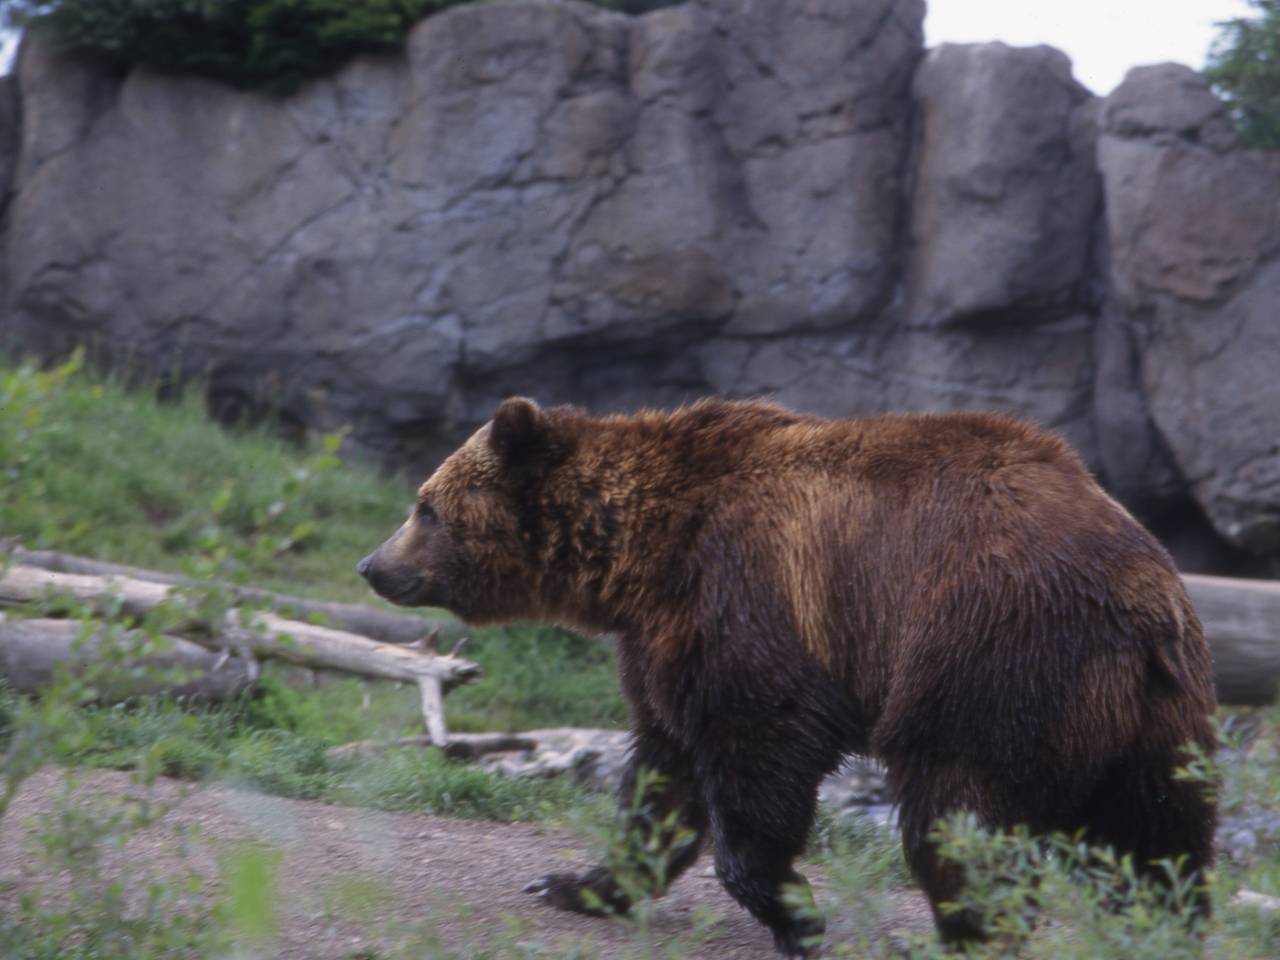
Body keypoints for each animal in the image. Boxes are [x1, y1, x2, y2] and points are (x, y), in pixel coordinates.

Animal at [357, 396, 1218, 957]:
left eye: (425, 507)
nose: (373, 565)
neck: (641, 554)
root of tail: (1141, 605)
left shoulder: (750, 604)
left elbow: (757, 755)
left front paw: (795, 912)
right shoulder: (666, 642)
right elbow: (662, 774)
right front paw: (575, 882)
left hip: (988, 656)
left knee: (957, 812)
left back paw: (964, 934)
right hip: (1156, 718)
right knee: (1161, 840)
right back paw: (1162, 930)